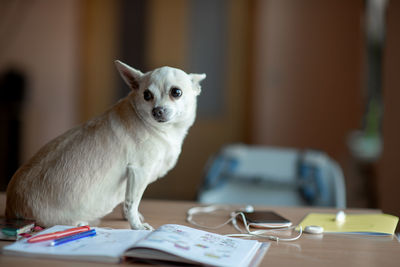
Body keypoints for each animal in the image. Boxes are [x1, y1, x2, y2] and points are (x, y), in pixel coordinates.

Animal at [5, 61, 206, 230]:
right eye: (147, 95)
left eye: (176, 92)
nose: (157, 111)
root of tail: (10, 208)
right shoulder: (138, 172)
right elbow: (132, 202)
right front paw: (136, 226)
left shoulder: (132, 179)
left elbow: (127, 201)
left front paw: (129, 218)